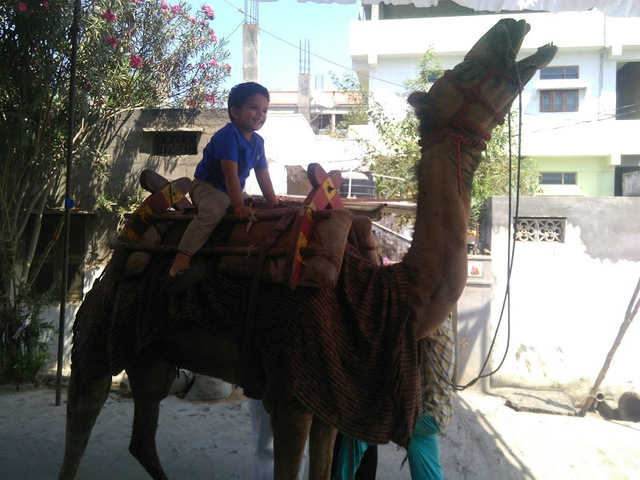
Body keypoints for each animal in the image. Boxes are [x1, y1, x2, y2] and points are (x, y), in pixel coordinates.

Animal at [58, 18, 557, 480]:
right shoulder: (291, 392)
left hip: (152, 351)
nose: (512, 24)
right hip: (100, 330)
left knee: (142, 433)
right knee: (83, 409)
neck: (387, 295)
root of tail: (125, 238)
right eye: (467, 70)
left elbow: (323, 464)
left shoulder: (331, 399)